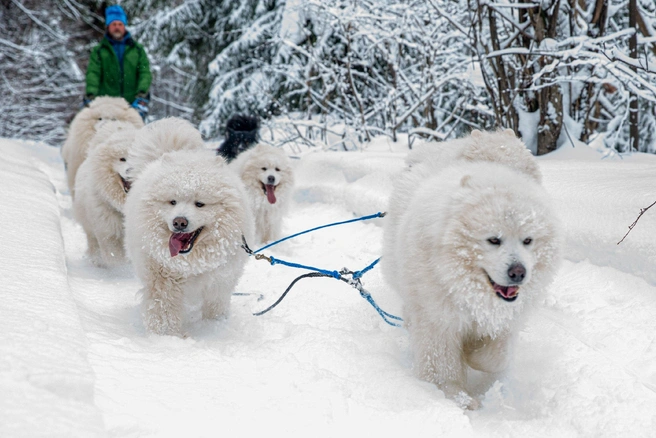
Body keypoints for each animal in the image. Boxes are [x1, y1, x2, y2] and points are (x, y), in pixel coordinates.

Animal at [124, 149, 255, 338]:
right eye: (172, 202)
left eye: (200, 204)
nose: (179, 222)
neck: (192, 262)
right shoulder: (163, 279)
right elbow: (164, 310)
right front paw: (167, 336)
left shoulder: (221, 280)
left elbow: (216, 304)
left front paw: (214, 325)